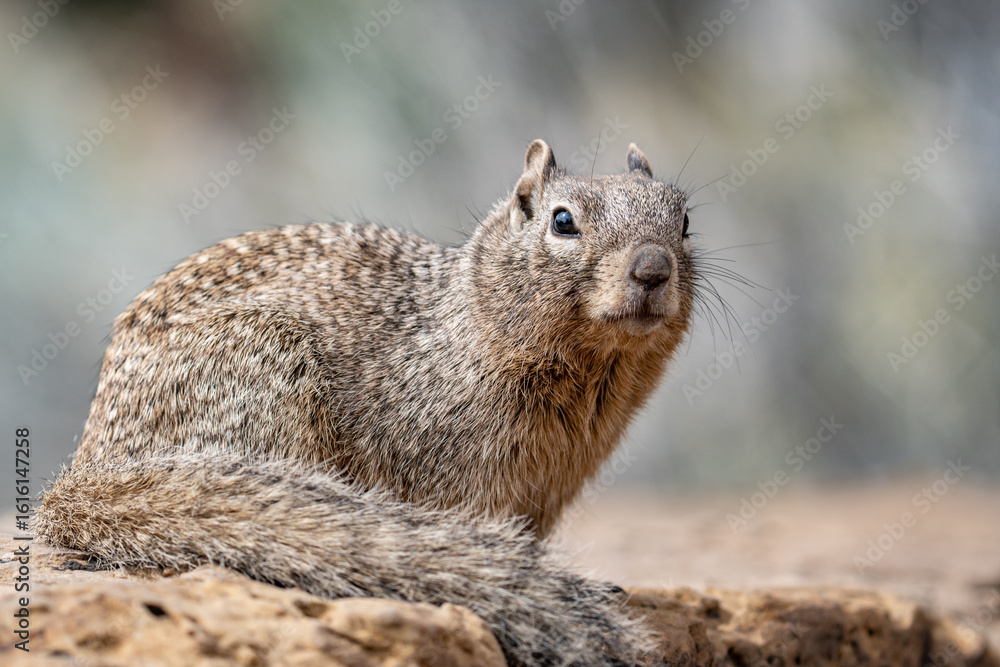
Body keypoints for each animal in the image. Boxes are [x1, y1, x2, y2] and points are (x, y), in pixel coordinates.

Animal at [37, 139, 698, 667]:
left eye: (685, 218)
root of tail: (87, 472)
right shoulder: (455, 473)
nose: (652, 268)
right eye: (563, 222)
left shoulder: (545, 494)